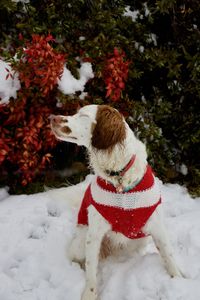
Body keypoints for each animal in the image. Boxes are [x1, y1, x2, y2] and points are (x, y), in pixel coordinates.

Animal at [50, 105, 183, 300]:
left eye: (83, 116)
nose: (51, 117)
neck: (118, 174)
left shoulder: (156, 225)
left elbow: (169, 255)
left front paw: (179, 280)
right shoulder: (94, 234)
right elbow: (91, 271)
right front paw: (89, 294)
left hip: (139, 241)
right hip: (81, 242)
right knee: (80, 259)